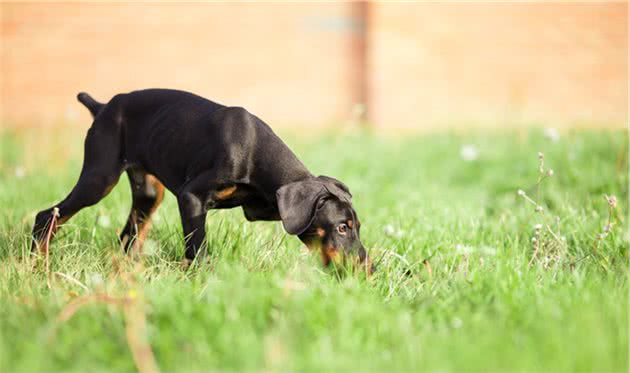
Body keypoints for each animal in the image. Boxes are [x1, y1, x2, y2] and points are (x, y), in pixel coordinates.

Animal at [32, 89, 372, 270]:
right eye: (342, 227)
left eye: (355, 226)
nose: (368, 267)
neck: (254, 149)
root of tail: (102, 107)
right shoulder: (191, 198)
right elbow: (198, 249)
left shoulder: (259, 207)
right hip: (100, 177)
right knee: (47, 215)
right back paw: (38, 263)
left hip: (148, 193)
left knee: (128, 235)